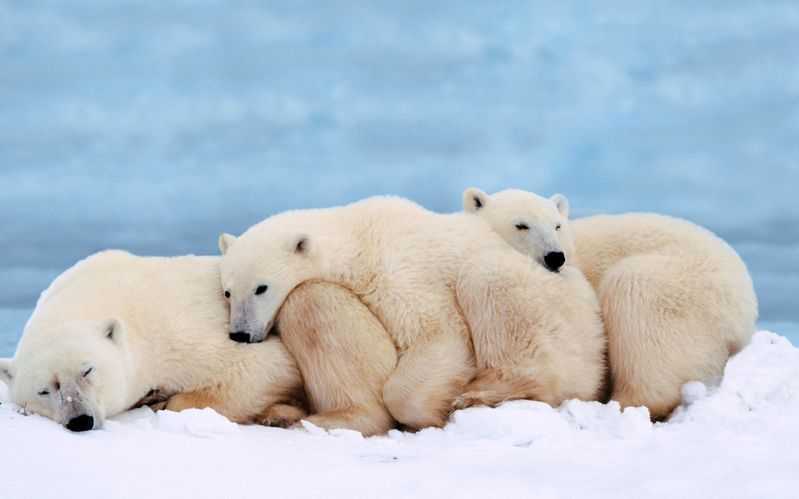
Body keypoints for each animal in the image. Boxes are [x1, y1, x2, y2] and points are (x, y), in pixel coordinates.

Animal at [0, 250, 398, 435]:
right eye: (44, 390)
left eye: (88, 370)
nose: (80, 420)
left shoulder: (175, 329)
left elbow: (261, 367)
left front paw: (164, 399)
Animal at [218, 195, 606, 430]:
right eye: (228, 291)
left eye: (261, 287)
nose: (240, 333)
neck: (357, 237)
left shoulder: (397, 270)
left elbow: (437, 333)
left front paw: (432, 413)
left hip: (551, 310)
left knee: (488, 282)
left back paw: (482, 393)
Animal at [463, 187, 758, 419]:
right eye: (521, 225)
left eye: (557, 225)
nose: (555, 256)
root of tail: (746, 307)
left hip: (683, 287)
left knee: (635, 297)